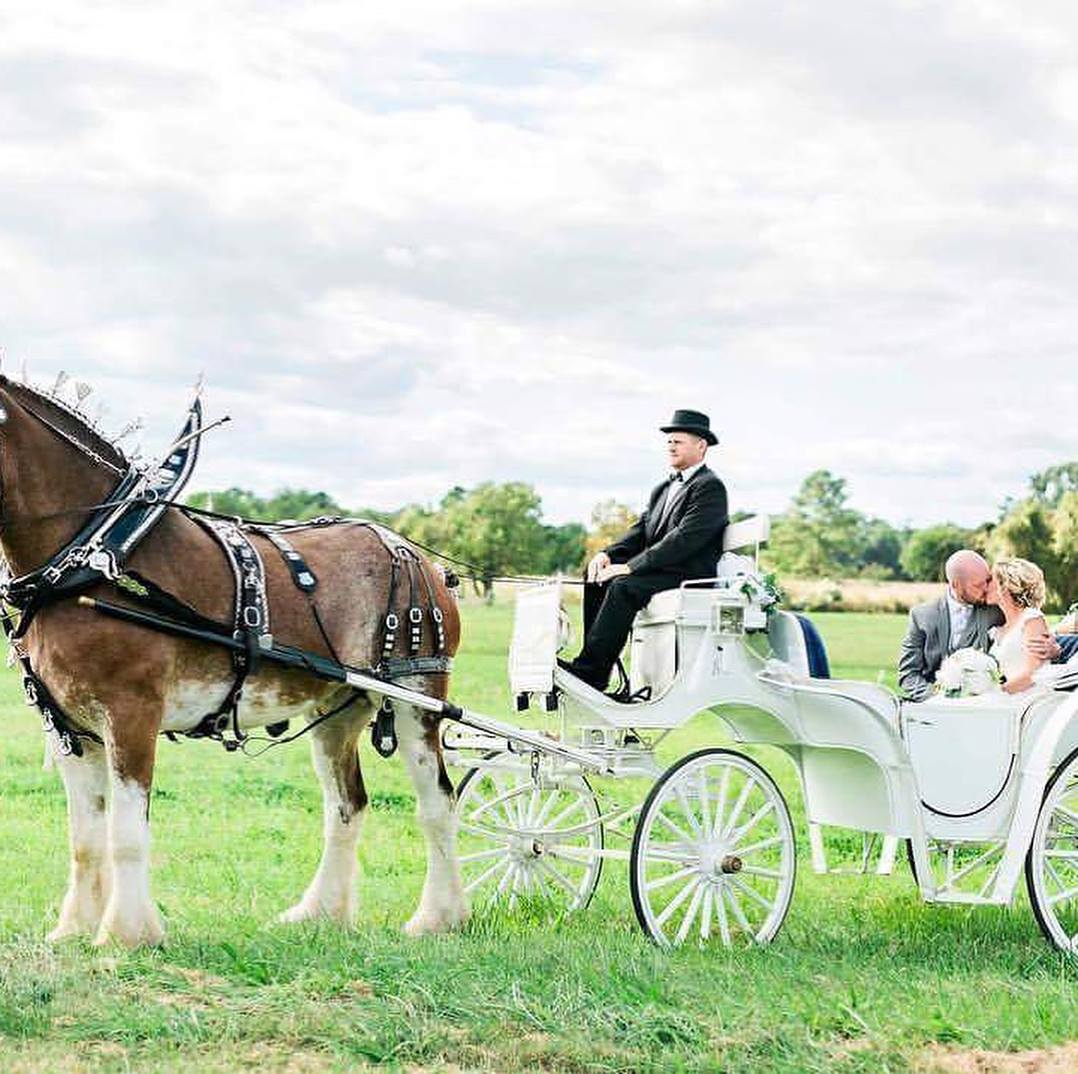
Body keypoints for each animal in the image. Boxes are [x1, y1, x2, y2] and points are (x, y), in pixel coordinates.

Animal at [0, 374, 468, 946]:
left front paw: (126, 935)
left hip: (416, 697)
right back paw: (318, 912)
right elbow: (85, 837)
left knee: (436, 804)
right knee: (346, 806)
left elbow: (126, 833)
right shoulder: (68, 725)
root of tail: (420, 558)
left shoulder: (132, 715)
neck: (94, 556)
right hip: (337, 708)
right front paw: (74, 930)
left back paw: (438, 918)